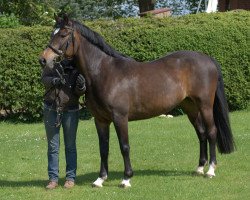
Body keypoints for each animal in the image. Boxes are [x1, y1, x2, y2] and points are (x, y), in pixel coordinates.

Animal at [39, 15, 234, 188]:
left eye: (63, 34)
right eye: (52, 33)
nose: (43, 59)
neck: (104, 72)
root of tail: (207, 59)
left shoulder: (120, 118)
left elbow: (124, 146)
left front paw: (126, 179)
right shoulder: (101, 120)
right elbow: (103, 148)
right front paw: (100, 179)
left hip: (205, 105)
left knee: (211, 132)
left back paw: (210, 170)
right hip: (190, 107)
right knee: (201, 133)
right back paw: (200, 168)